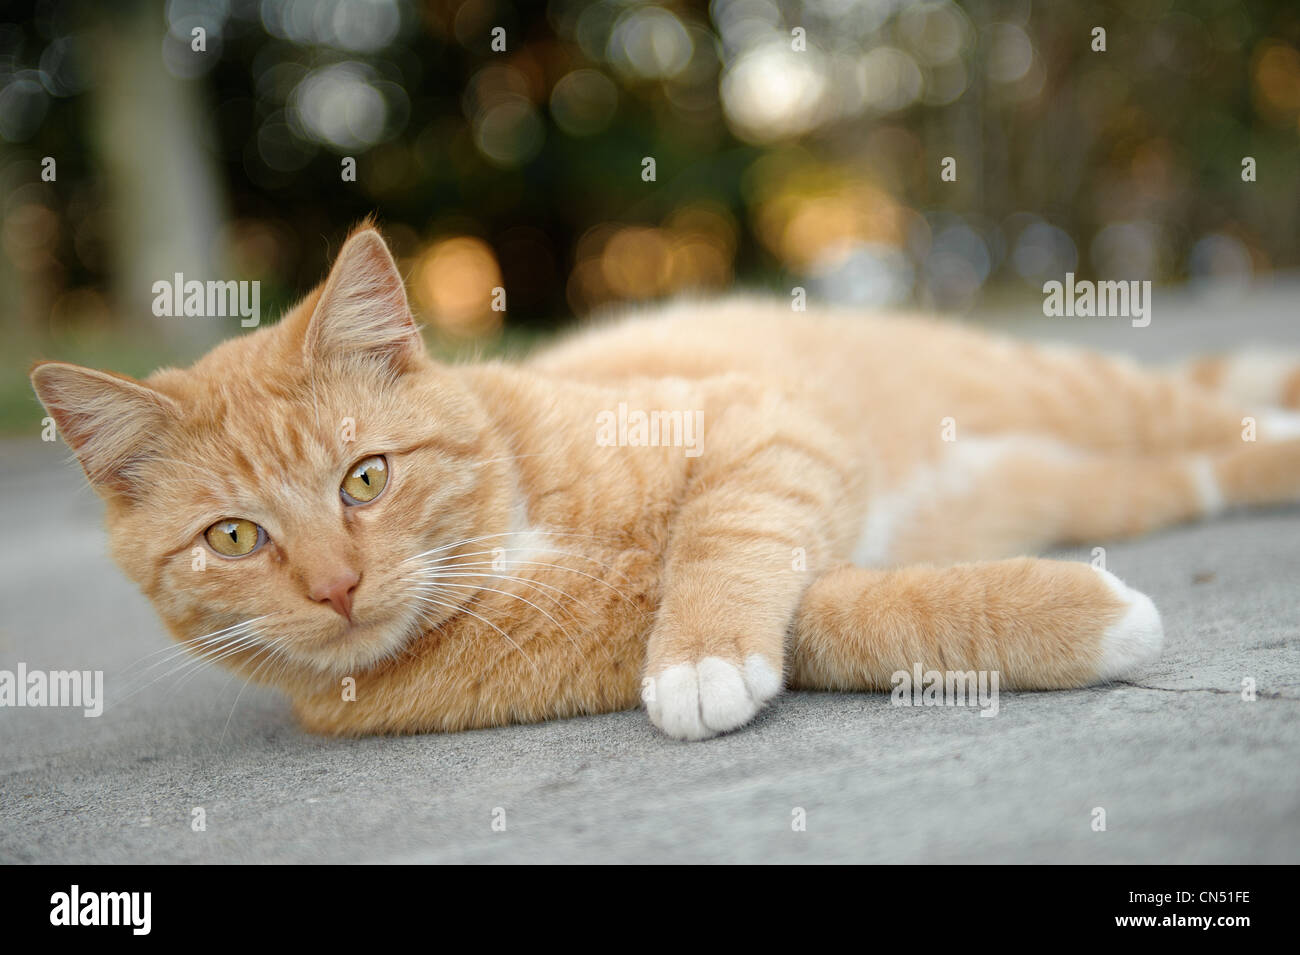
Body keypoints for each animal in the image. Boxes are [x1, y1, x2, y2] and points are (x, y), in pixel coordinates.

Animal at [27, 222, 1300, 738]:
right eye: (235, 539)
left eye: (366, 478)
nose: (336, 586)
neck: (513, 535)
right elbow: (850, 614)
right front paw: (1082, 613)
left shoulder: (763, 424)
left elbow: (724, 532)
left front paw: (699, 651)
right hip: (1084, 477)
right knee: (1199, 462)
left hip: (1073, 397)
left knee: (1209, 409)